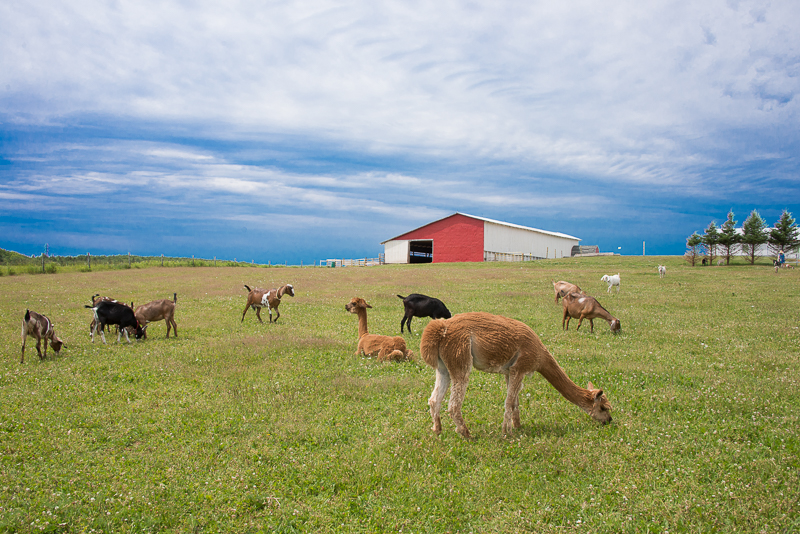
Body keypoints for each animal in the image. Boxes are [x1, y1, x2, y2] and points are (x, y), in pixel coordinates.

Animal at [418, 314, 612, 440]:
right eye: (604, 408)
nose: (609, 421)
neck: (541, 357)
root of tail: (440, 328)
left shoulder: (509, 372)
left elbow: (515, 402)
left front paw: (518, 426)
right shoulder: (520, 367)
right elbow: (509, 401)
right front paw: (507, 432)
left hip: (443, 367)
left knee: (434, 399)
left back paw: (437, 430)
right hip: (460, 358)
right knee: (453, 405)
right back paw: (466, 434)